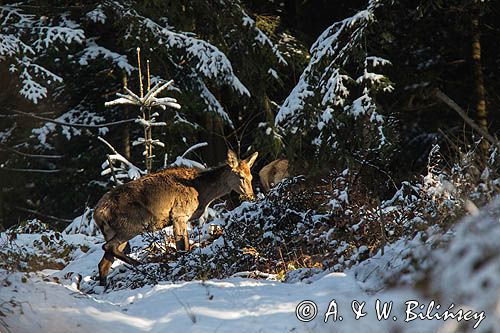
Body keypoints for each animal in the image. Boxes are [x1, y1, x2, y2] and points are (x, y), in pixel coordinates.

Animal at [92, 148, 260, 286]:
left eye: (251, 177)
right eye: (240, 176)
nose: (251, 196)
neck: (203, 192)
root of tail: (98, 213)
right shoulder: (179, 214)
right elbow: (183, 247)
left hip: (114, 231)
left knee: (103, 263)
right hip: (131, 225)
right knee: (108, 247)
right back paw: (140, 264)